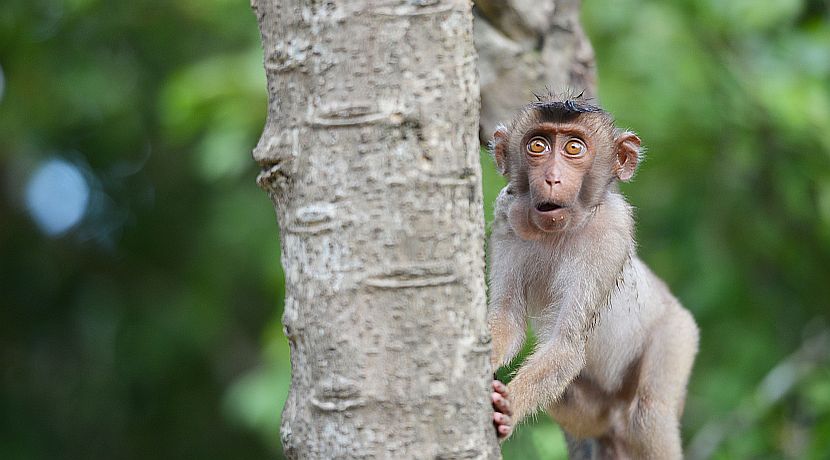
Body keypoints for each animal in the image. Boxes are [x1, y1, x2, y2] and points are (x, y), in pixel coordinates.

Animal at [486, 95, 698, 459]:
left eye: (574, 148)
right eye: (537, 145)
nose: (552, 178)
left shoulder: (611, 232)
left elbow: (567, 344)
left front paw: (508, 409)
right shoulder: (505, 216)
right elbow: (507, 320)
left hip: (678, 333)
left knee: (648, 413)